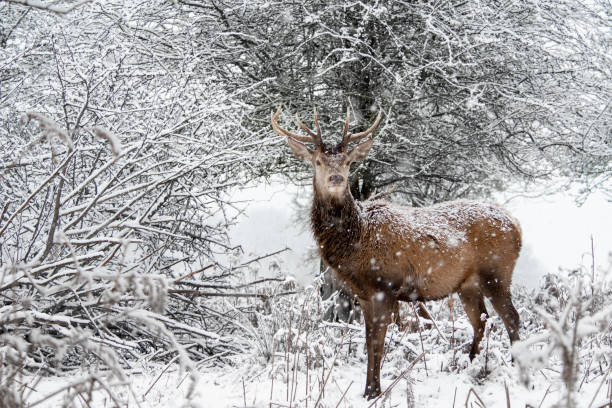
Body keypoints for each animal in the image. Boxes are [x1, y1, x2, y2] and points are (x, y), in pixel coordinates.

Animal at [272, 104, 520, 398]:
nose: (336, 178)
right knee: (481, 320)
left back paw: (517, 366)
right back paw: (469, 364)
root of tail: (517, 226)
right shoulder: (364, 294)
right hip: (467, 284)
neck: (355, 243)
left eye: (348, 162)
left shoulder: (385, 286)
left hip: (497, 272)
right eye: (318, 161)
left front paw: (374, 391)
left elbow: (379, 342)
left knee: (511, 317)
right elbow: (369, 340)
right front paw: (367, 390)